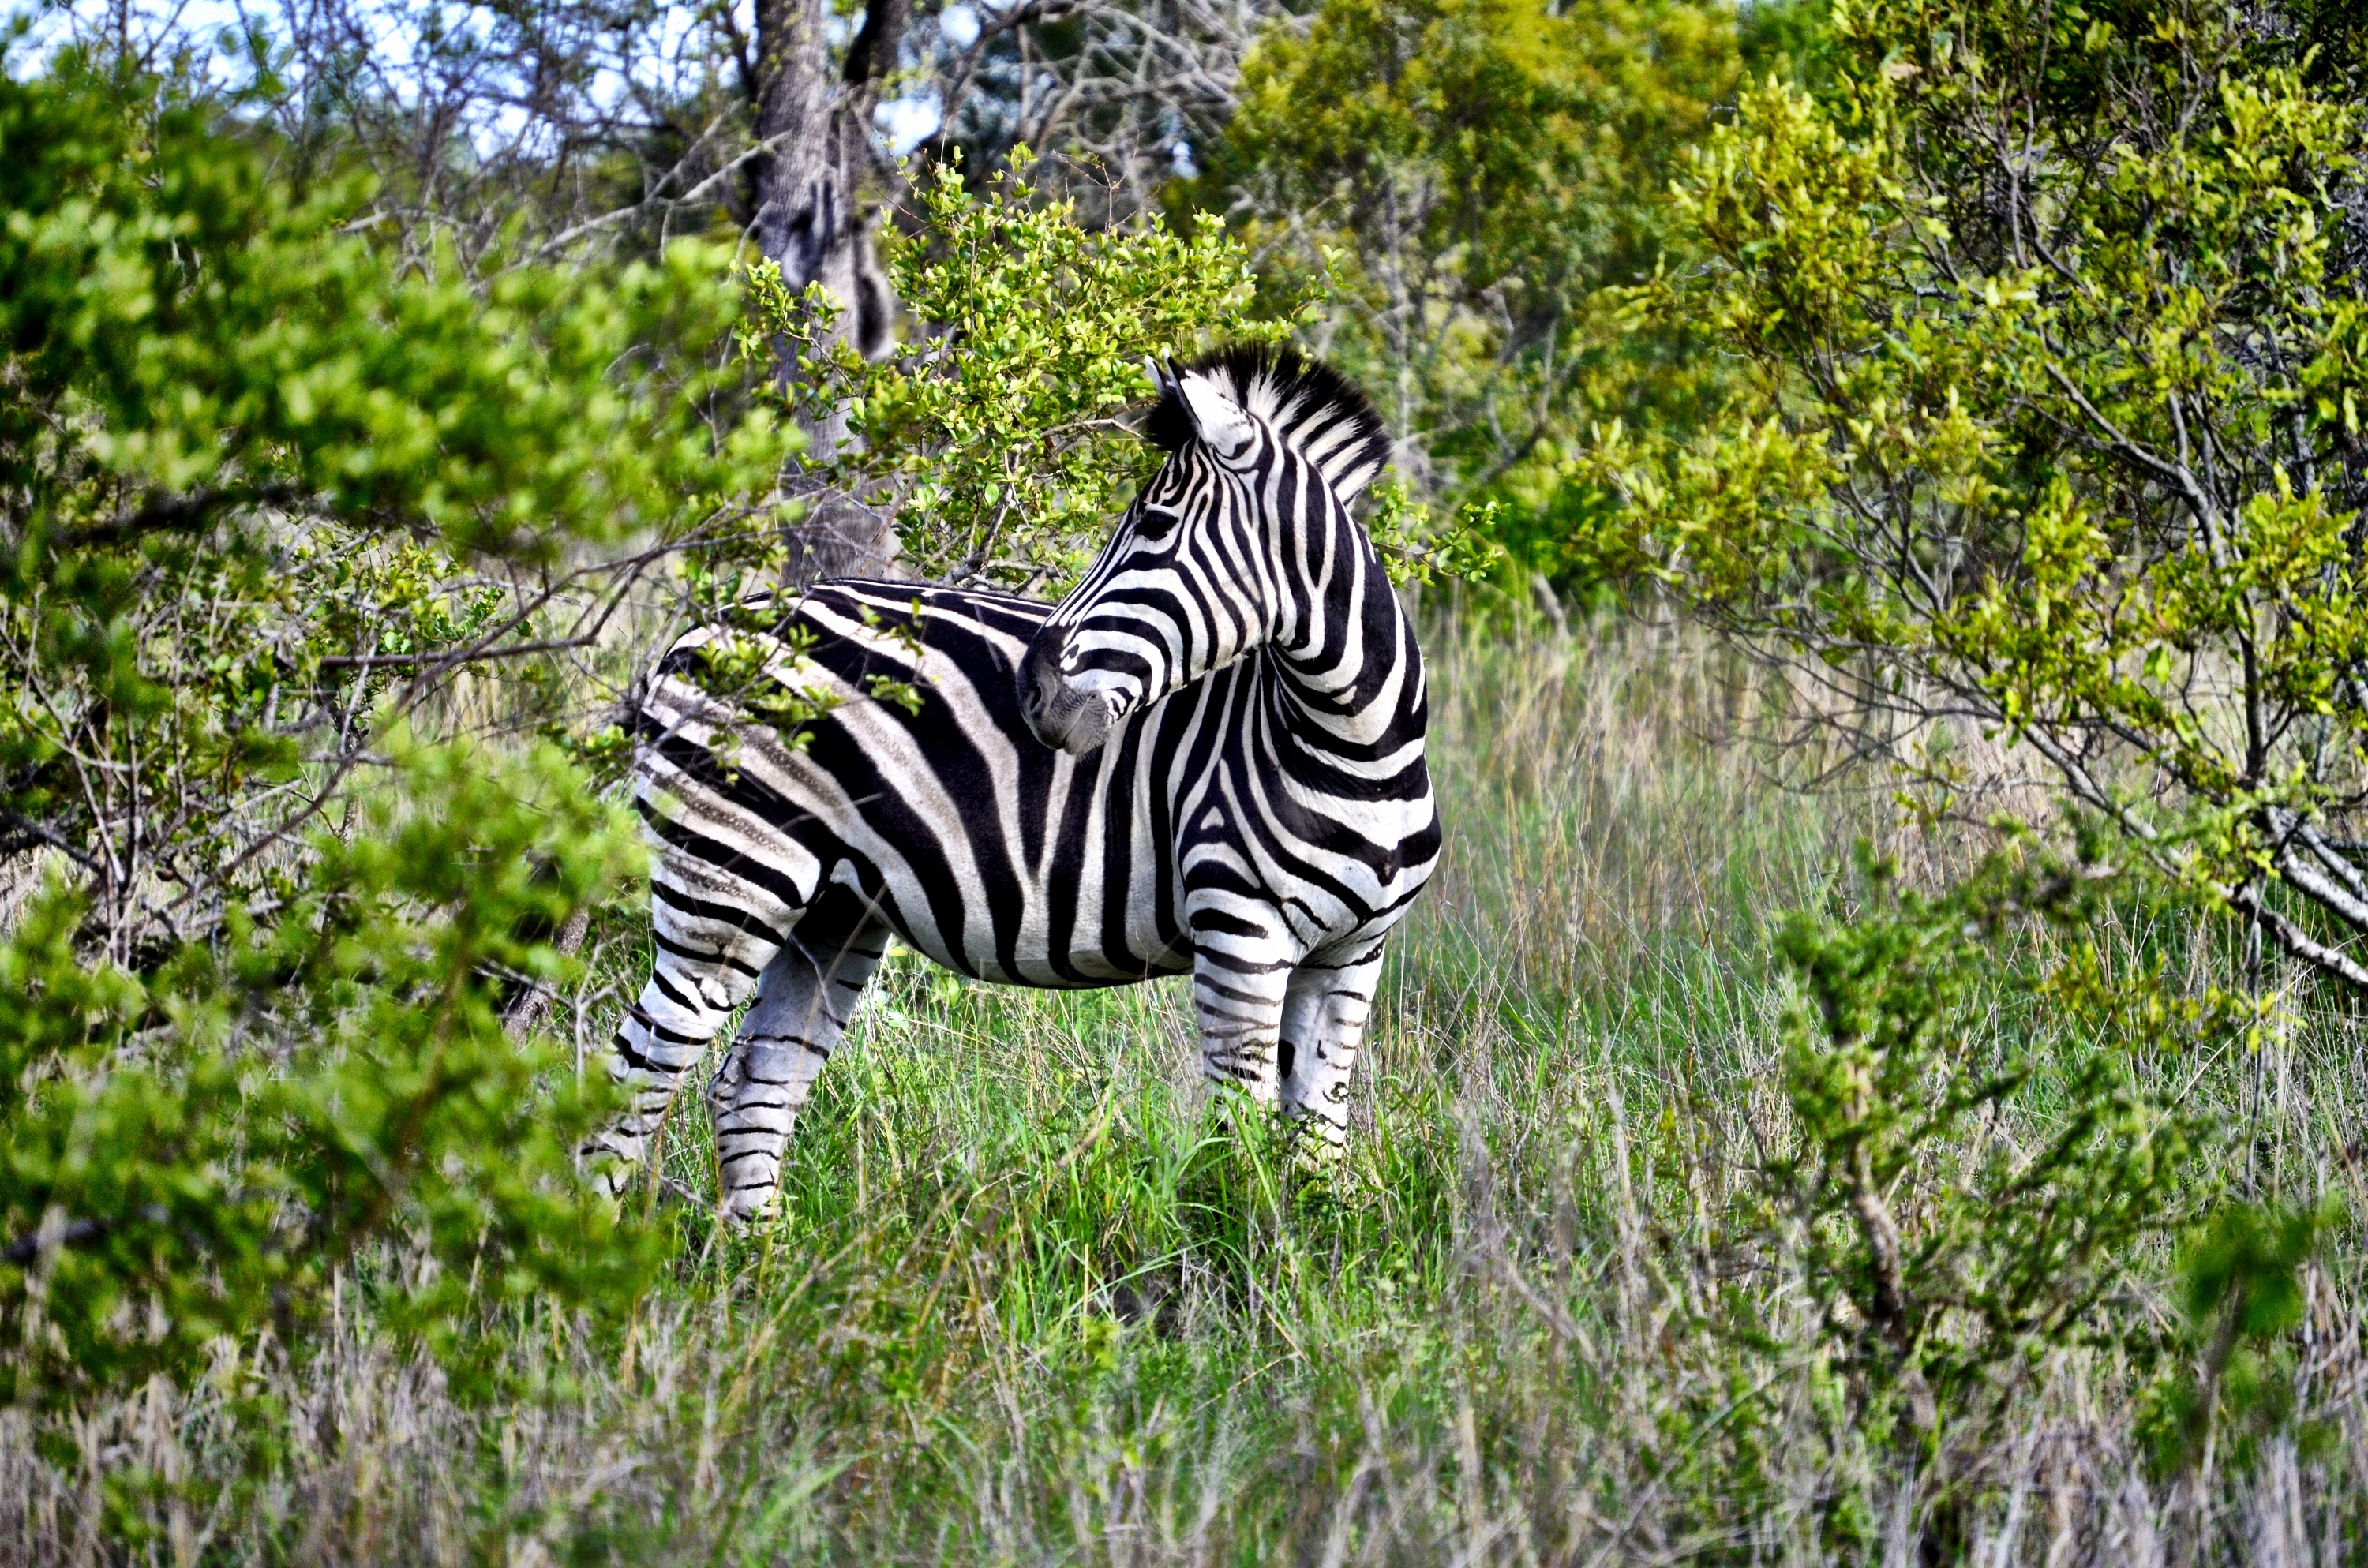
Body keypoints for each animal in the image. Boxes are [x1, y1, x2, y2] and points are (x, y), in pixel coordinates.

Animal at [590, 345, 1442, 1219]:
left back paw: (762, 1257)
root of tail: (693, 635)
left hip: (833, 909)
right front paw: (1228, 1244)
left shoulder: (1353, 954)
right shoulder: (1241, 934)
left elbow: (1318, 1142)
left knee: (750, 1085)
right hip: (727, 885)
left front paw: (1314, 1240)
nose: (1032, 690)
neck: (1353, 749)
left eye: (1153, 527)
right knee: (634, 1079)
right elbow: (1236, 1142)